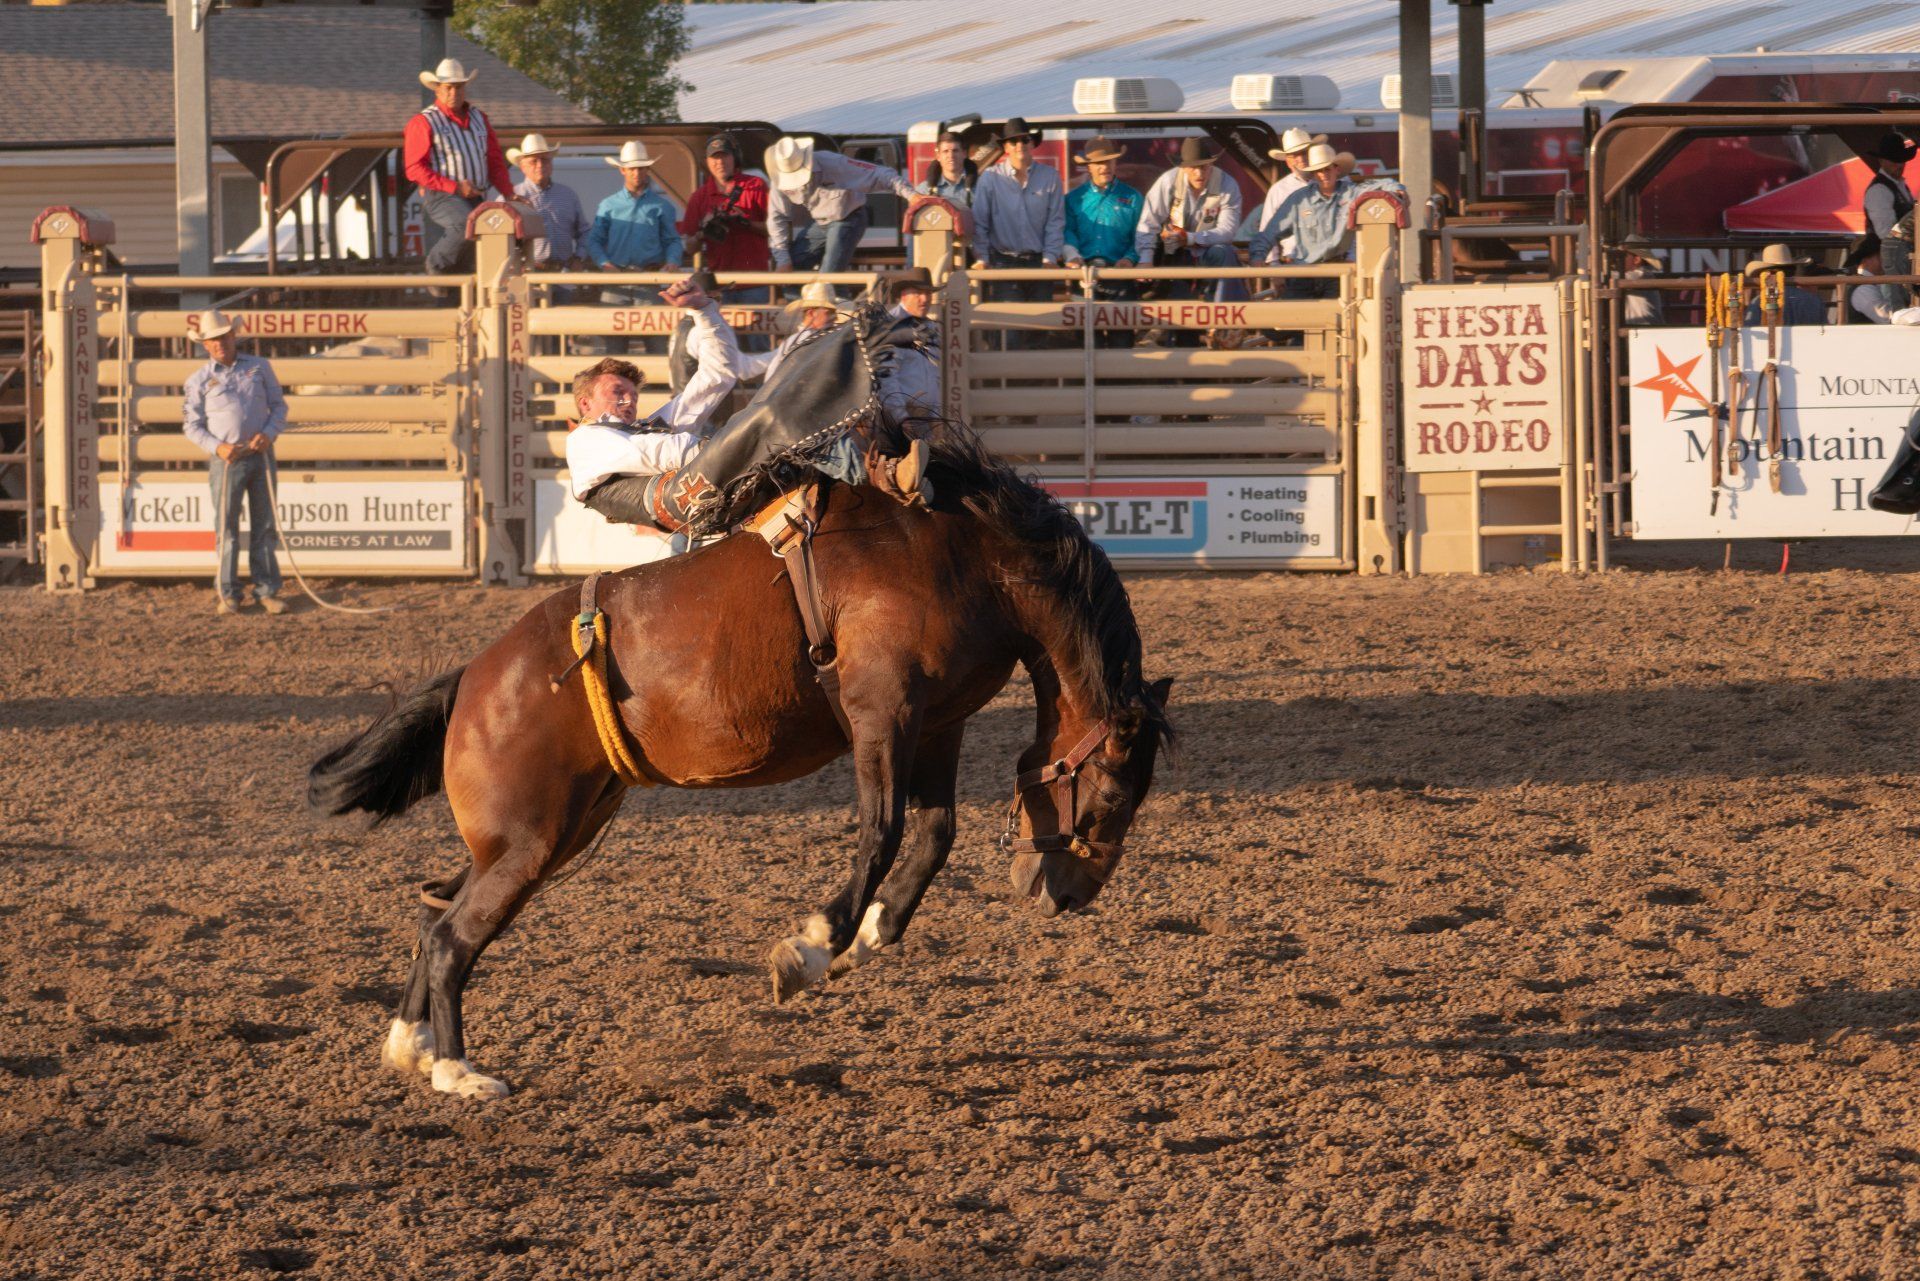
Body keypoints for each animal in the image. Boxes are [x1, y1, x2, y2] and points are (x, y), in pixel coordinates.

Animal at [308, 431, 1173, 1099]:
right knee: (454, 934)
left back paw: (410, 1044)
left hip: (554, 829)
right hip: (530, 839)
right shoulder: (882, 709)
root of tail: (474, 678)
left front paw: (868, 936)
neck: (961, 554)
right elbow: (884, 830)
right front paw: (812, 947)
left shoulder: (938, 724)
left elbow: (934, 836)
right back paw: (459, 1072)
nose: (1068, 896)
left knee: (436, 911)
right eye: (1108, 800)